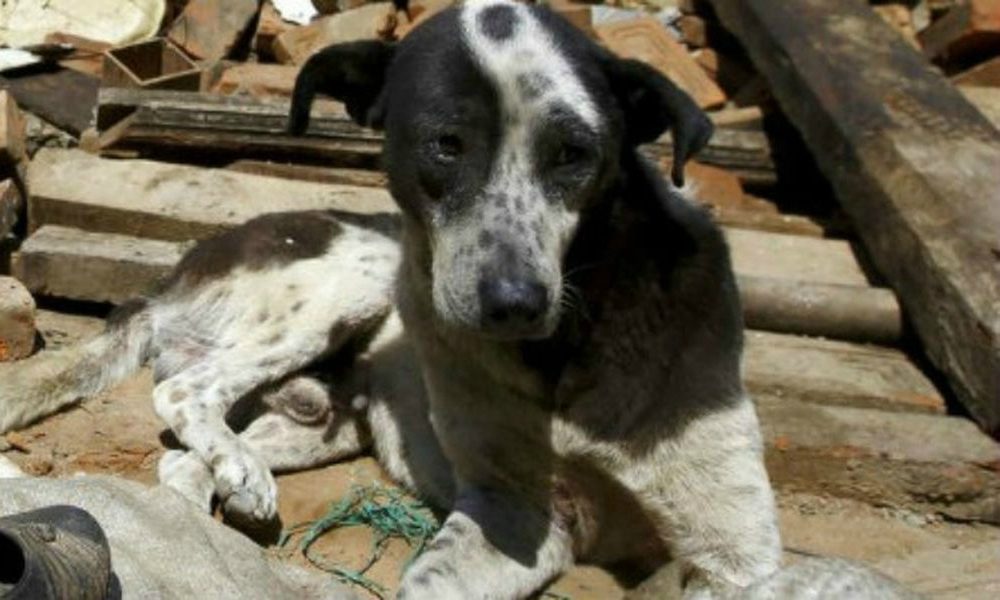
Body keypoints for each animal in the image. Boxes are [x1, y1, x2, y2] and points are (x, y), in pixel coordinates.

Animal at [0, 2, 916, 596]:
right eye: (445, 145)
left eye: (575, 153)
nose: (510, 303)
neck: (572, 345)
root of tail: (173, 271)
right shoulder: (517, 514)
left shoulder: (732, 553)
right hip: (354, 276)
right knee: (185, 391)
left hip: (320, 422)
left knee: (187, 458)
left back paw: (231, 487)